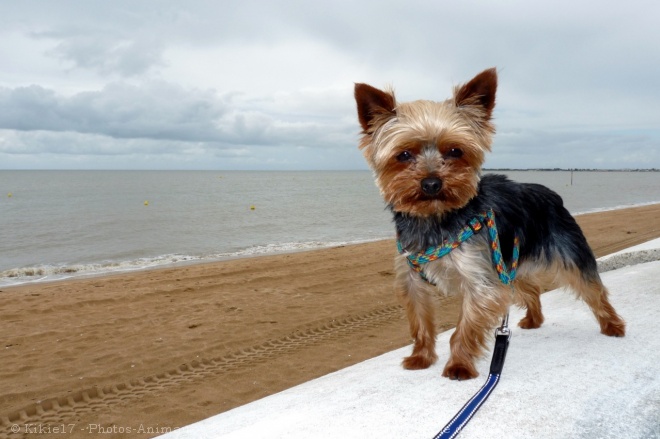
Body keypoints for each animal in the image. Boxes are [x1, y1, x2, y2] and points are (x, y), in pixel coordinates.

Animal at [356, 67, 624, 380]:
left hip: (566, 252)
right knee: (531, 289)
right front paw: (421, 357)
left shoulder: (480, 281)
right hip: (510, 264)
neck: (436, 218)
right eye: (404, 155)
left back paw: (613, 325)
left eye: (455, 151)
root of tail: (551, 194)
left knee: (593, 289)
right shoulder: (412, 279)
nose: (431, 183)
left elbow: (463, 328)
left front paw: (459, 366)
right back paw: (534, 319)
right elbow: (420, 322)